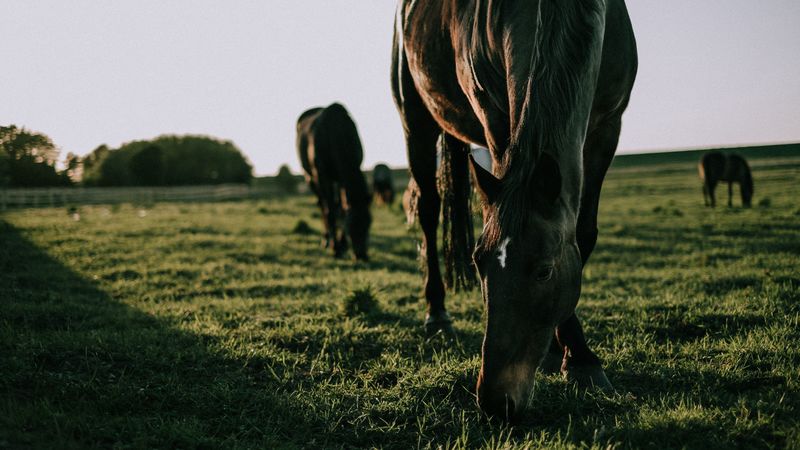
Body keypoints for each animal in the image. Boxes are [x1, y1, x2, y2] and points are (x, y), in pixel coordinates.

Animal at [296, 103, 372, 261]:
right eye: (350, 225)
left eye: (369, 222)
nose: (361, 255)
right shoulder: (323, 176)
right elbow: (330, 211)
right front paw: (335, 248)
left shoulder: (341, 178)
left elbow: (342, 210)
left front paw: (342, 245)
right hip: (311, 178)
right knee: (322, 205)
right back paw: (326, 240)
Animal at [392, 0, 637, 419]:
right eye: (479, 263)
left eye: (544, 271)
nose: (495, 401)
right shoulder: (496, 117)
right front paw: (576, 357)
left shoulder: (608, 126)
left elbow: (583, 234)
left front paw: (574, 356)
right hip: (416, 120)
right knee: (427, 209)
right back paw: (437, 315)